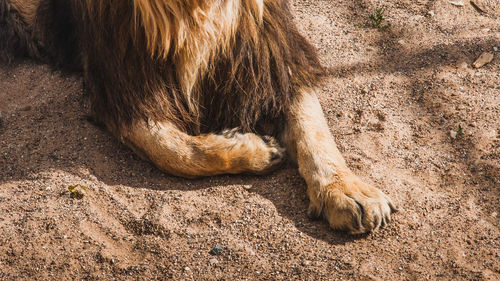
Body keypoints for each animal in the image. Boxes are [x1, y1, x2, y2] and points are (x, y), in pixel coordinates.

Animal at [0, 0, 398, 232]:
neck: (193, 9)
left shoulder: (272, 58)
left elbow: (314, 132)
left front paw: (346, 192)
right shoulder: (120, 85)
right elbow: (174, 152)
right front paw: (257, 150)